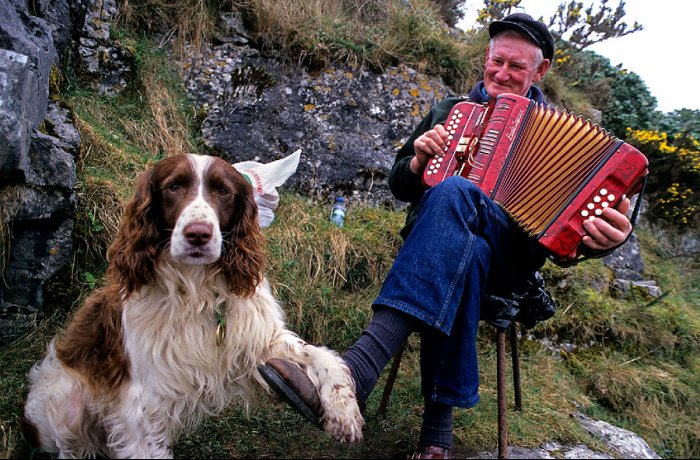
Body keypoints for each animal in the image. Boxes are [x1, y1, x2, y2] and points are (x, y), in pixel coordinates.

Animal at [21, 154, 360, 456]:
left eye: (223, 191)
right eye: (174, 186)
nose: (198, 234)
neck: (197, 290)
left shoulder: (257, 341)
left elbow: (320, 354)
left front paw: (344, 411)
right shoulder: (142, 408)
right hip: (64, 403)